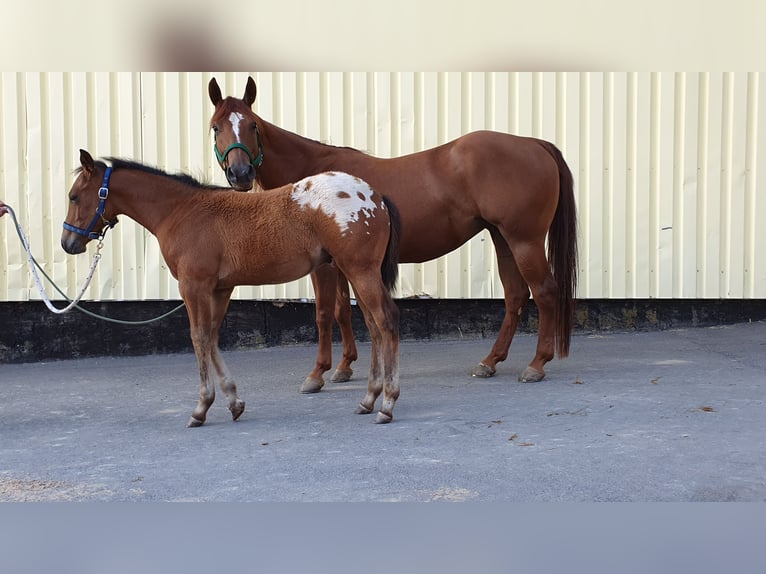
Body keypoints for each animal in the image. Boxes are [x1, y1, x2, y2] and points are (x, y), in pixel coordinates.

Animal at [63, 153, 404, 428]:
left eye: (74, 196)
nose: (68, 243)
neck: (181, 213)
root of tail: (374, 196)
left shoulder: (193, 286)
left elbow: (199, 338)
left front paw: (201, 408)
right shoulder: (220, 288)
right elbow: (212, 337)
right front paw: (233, 402)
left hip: (360, 271)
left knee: (386, 322)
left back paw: (387, 403)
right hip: (356, 272)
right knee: (374, 326)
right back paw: (369, 399)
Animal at [207, 75, 580, 392]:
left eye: (252, 125)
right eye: (215, 127)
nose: (240, 174)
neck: (314, 177)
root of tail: (534, 144)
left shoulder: (324, 266)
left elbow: (324, 313)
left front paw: (317, 374)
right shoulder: (342, 263)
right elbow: (345, 310)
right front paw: (344, 367)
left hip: (524, 240)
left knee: (544, 292)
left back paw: (536, 365)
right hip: (503, 238)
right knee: (516, 295)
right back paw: (490, 361)